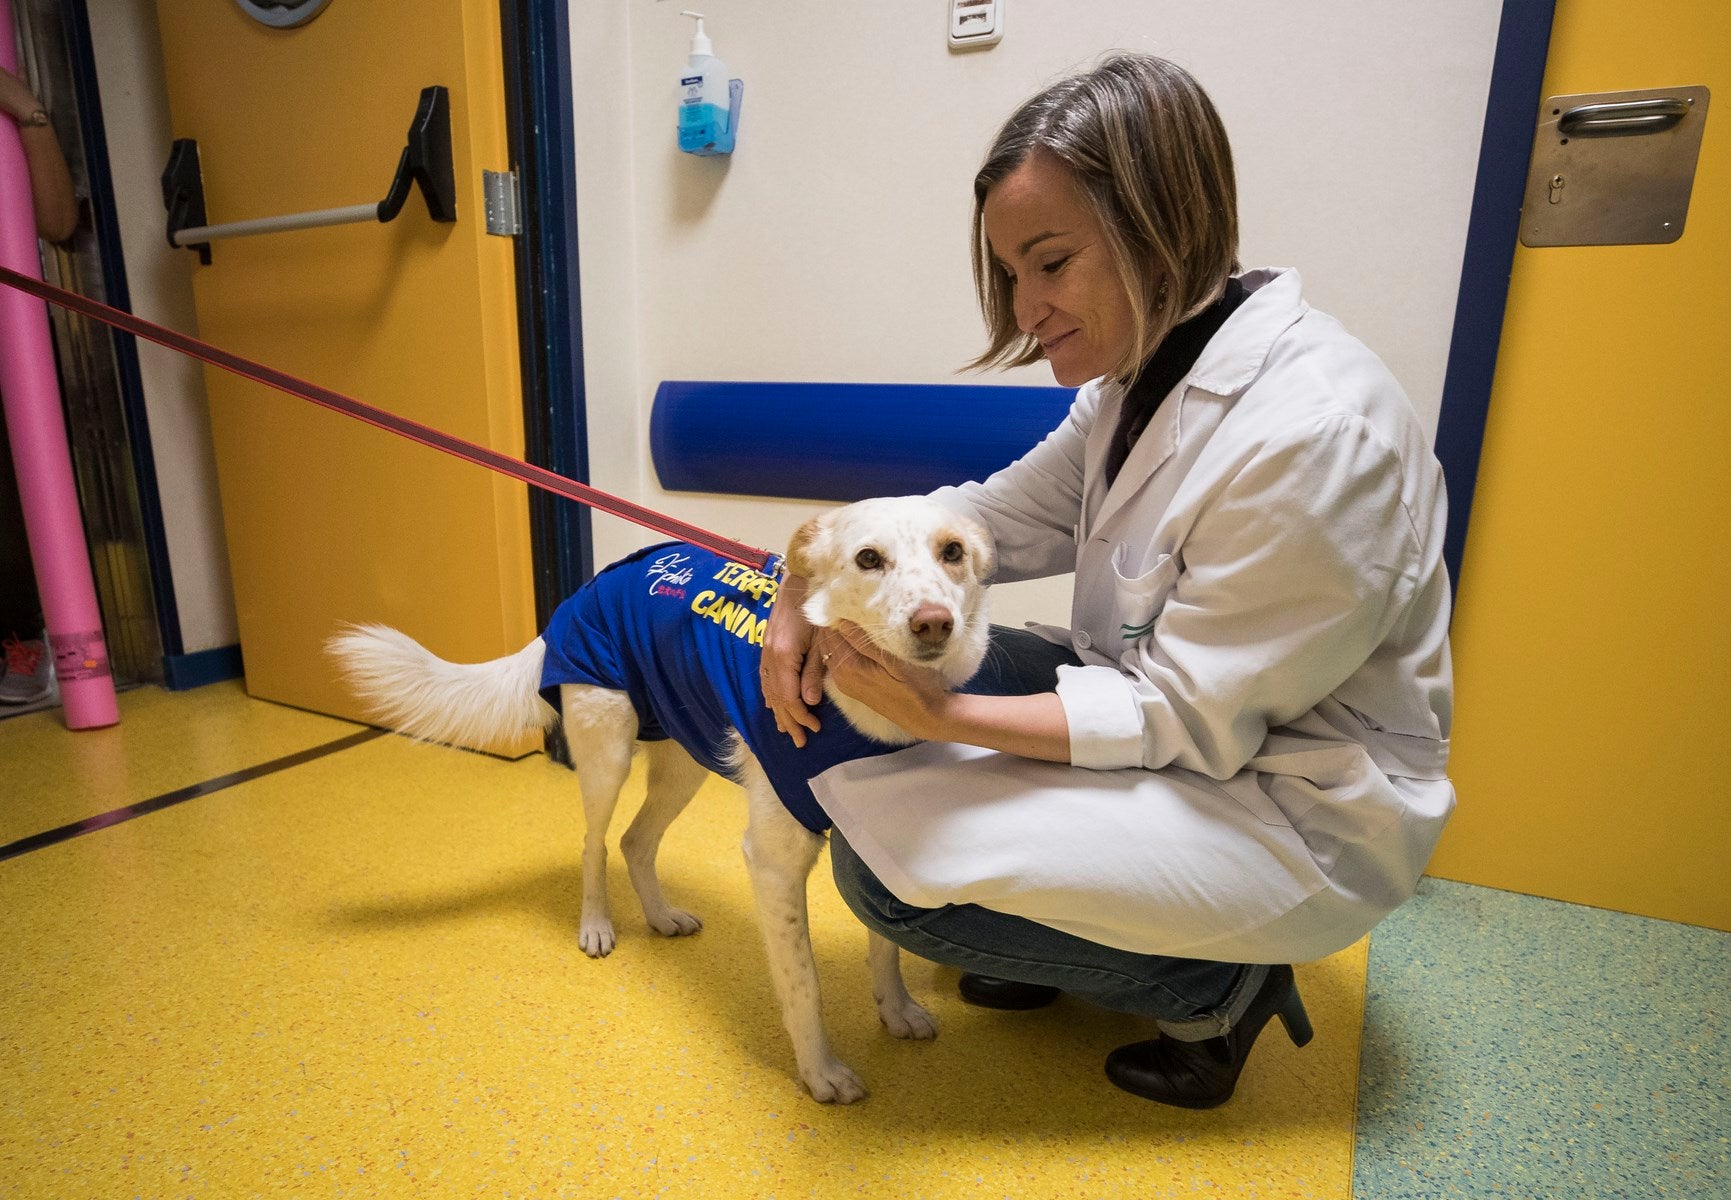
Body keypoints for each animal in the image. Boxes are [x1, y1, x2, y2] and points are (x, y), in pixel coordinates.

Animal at [328, 495, 997, 1101]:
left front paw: (896, 1010)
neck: (857, 710)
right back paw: (596, 925)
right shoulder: (774, 861)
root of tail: (581, 594)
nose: (934, 622)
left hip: (684, 755)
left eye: (952, 552)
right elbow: (803, 982)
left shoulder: (875, 846)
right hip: (607, 750)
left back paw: (659, 916)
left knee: (635, 839)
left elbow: (885, 947)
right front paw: (820, 1074)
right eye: (867, 559)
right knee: (596, 843)